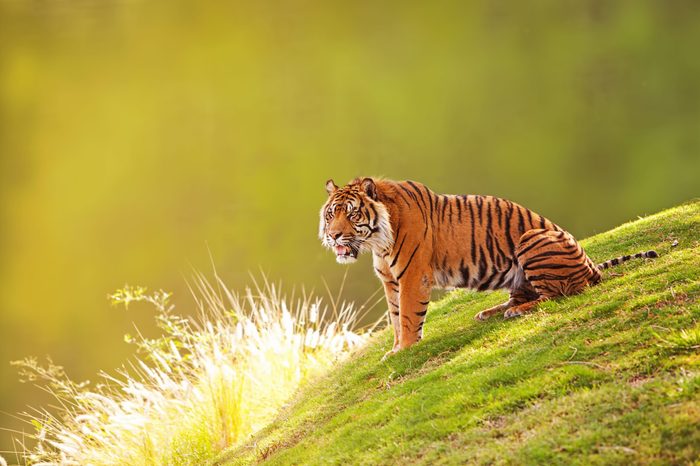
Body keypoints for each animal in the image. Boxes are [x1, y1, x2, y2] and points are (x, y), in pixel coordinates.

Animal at [320, 177, 660, 356]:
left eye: (352, 214)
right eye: (331, 214)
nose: (334, 235)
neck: (377, 241)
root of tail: (591, 265)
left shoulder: (412, 276)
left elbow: (406, 315)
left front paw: (404, 349)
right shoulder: (390, 280)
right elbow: (394, 316)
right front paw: (394, 349)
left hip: (531, 238)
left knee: (558, 294)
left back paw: (516, 312)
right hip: (519, 275)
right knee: (525, 295)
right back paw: (491, 312)